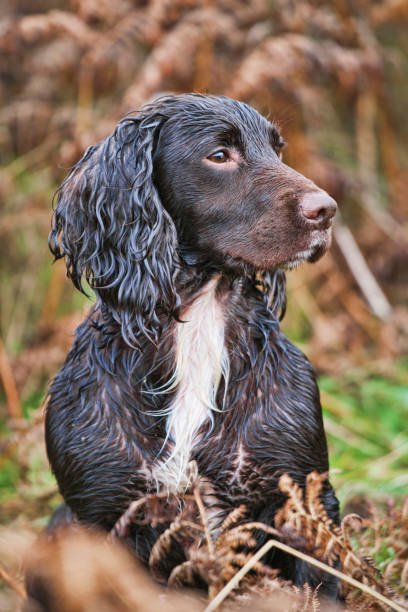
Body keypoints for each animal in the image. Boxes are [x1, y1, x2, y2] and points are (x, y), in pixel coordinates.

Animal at [44, 95, 340, 596]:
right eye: (219, 155)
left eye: (277, 150)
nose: (327, 210)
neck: (197, 329)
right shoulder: (96, 511)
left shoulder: (302, 498)